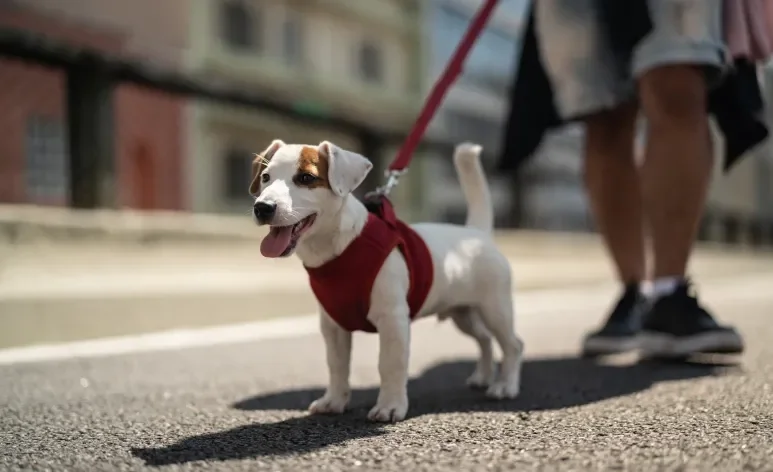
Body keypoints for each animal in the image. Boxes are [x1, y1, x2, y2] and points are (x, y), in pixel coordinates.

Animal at [250, 138, 520, 422]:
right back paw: (483, 377)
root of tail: (476, 232)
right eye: (265, 177)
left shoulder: (393, 321)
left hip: (495, 310)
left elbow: (390, 365)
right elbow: (337, 365)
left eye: (306, 178)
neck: (341, 248)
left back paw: (505, 386)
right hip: (463, 314)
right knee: (485, 340)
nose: (262, 208)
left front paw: (390, 405)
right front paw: (334, 400)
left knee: (512, 345)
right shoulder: (333, 326)